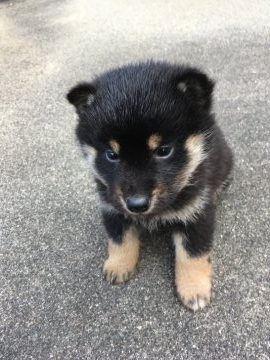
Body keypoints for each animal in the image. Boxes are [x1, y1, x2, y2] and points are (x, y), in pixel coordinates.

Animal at [66, 60, 233, 310]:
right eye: (111, 155)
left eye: (164, 150)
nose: (137, 205)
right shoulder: (112, 206)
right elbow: (120, 240)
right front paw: (118, 265)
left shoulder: (197, 212)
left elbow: (191, 254)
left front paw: (194, 289)